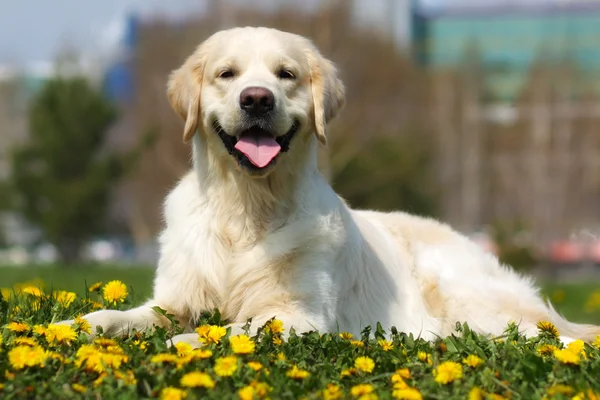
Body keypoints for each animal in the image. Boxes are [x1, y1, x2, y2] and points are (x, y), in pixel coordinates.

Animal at [62, 25, 600, 346]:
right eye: (226, 74)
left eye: (286, 75)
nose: (256, 99)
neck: (247, 209)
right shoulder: (174, 300)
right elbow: (115, 316)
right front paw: (73, 325)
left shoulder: (298, 314)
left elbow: (227, 332)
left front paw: (184, 345)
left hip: (470, 298)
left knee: (552, 336)